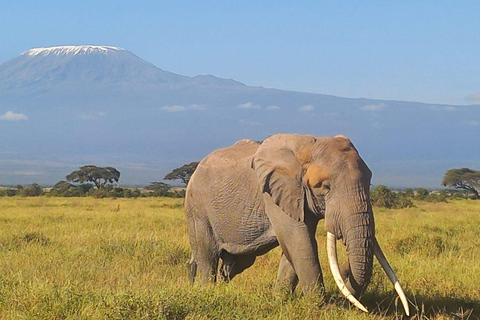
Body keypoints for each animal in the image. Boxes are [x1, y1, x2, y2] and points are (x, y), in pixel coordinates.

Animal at [184, 133, 408, 316]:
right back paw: (206, 292)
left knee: (237, 262)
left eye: (369, 181)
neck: (308, 146)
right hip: (197, 208)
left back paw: (220, 289)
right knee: (208, 257)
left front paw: (278, 300)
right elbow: (300, 242)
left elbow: (294, 247)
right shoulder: (273, 193)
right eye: (324, 186)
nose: (345, 270)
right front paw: (321, 308)